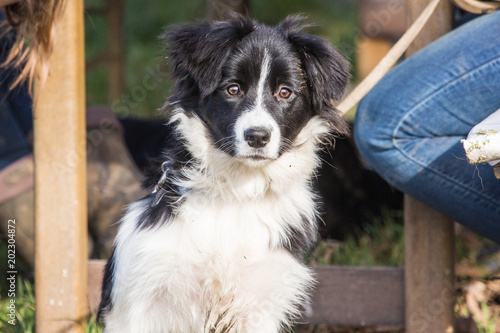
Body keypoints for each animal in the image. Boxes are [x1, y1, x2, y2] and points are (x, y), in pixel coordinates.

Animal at [97, 14, 348, 332]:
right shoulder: (140, 298)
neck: (238, 190)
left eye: (285, 93)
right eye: (233, 89)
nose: (257, 137)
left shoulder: (262, 299)